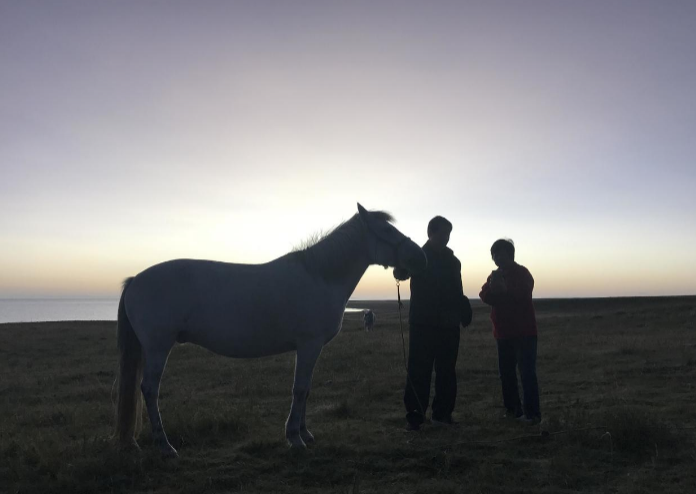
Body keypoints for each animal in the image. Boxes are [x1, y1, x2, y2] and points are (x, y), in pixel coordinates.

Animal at [115, 204, 426, 456]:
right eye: (386, 230)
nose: (419, 257)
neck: (320, 276)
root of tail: (135, 280)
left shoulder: (308, 348)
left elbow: (306, 389)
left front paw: (304, 433)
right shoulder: (309, 345)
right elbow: (299, 389)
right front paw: (295, 438)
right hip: (158, 347)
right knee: (149, 390)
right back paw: (165, 446)